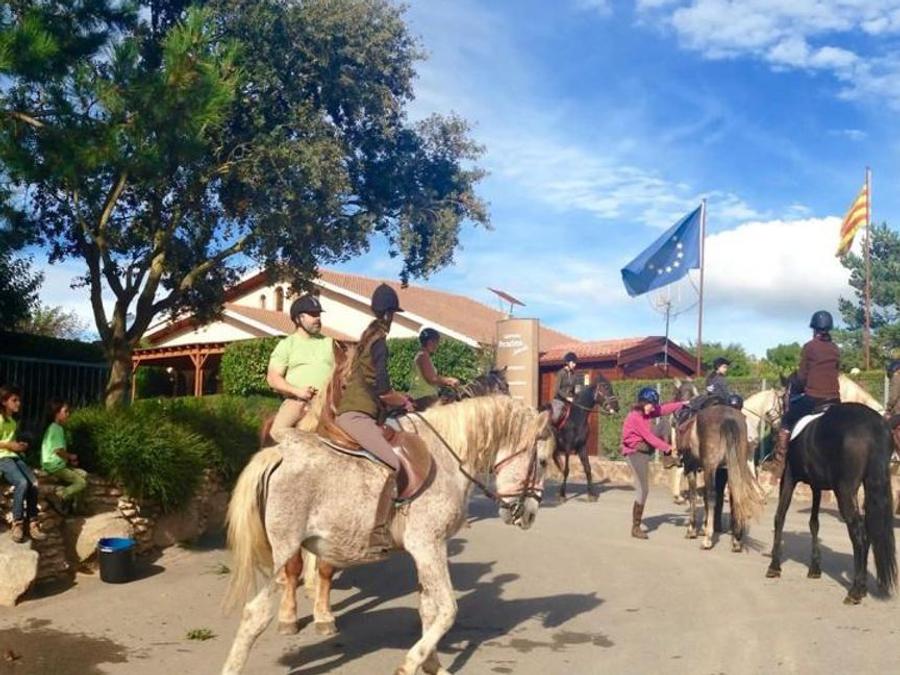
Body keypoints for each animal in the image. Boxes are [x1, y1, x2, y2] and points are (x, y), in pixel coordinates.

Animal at [222, 395, 554, 674]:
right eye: (543, 461)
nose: (530, 514)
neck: (446, 459)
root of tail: (279, 453)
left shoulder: (428, 550)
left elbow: (428, 610)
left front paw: (432, 665)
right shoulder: (428, 546)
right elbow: (447, 609)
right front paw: (410, 664)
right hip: (285, 551)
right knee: (256, 613)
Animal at [677, 403, 766, 551]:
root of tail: (728, 418)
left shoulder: (691, 467)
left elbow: (695, 496)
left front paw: (693, 530)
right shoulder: (720, 471)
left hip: (710, 466)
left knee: (712, 496)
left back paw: (708, 540)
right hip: (734, 465)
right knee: (736, 494)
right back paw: (736, 539)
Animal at [765, 394, 896, 604]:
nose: (770, 420)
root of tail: (873, 425)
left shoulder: (789, 477)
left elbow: (780, 517)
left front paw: (774, 566)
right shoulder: (817, 486)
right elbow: (814, 523)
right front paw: (814, 568)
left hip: (844, 490)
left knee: (858, 532)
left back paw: (855, 590)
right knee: (868, 529)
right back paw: (862, 586)